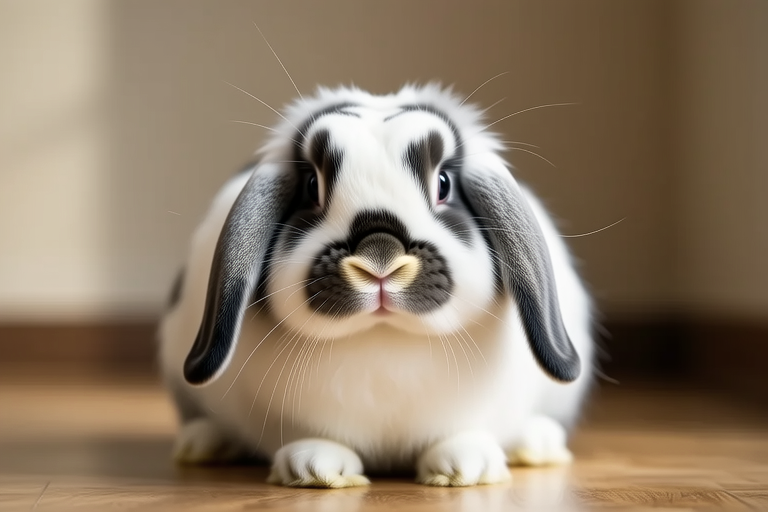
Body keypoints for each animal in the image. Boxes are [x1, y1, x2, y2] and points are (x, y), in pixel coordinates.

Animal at [158, 83, 594, 488]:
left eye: (443, 184)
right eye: (311, 186)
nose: (379, 255)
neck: (384, 338)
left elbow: (463, 433)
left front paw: (465, 466)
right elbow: (313, 439)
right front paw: (314, 467)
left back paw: (536, 444)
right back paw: (204, 444)